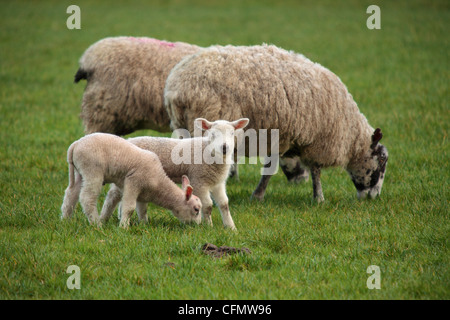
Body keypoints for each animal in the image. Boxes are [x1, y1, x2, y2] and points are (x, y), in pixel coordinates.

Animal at [60, 132, 201, 228]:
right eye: (196, 210)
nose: (197, 226)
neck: (159, 184)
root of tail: (75, 144)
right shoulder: (133, 182)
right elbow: (129, 207)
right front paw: (123, 227)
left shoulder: (143, 193)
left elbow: (142, 210)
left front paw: (144, 224)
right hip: (92, 170)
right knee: (87, 198)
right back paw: (97, 224)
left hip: (79, 173)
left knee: (70, 194)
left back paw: (65, 220)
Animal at [100, 117, 251, 230]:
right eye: (212, 134)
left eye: (232, 133)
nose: (225, 147)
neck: (208, 151)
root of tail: (128, 140)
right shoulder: (199, 180)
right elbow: (208, 205)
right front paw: (209, 226)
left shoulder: (217, 183)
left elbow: (224, 204)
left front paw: (231, 228)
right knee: (112, 196)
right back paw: (107, 219)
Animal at [163, 44, 388, 202]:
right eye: (382, 161)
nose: (374, 197)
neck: (350, 133)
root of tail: (178, 85)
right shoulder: (313, 141)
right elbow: (311, 171)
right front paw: (318, 198)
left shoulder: (287, 139)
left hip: (183, 126)